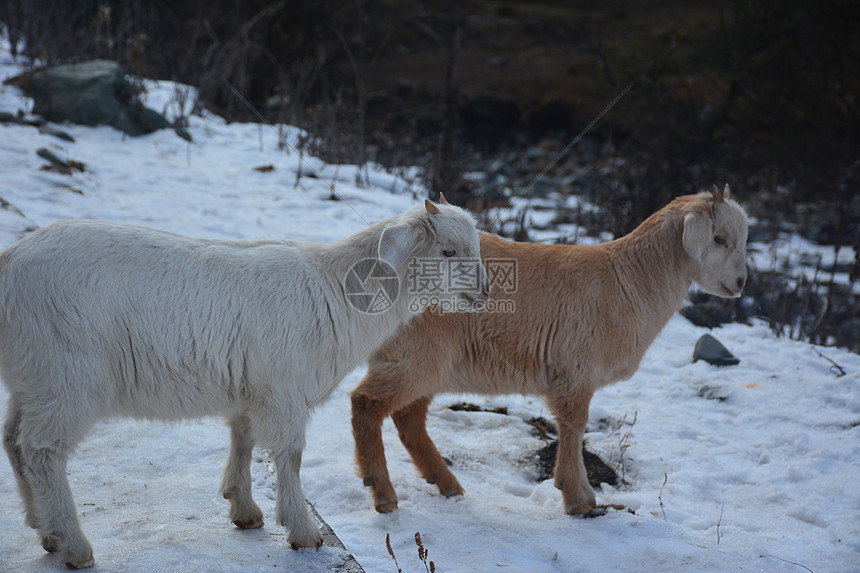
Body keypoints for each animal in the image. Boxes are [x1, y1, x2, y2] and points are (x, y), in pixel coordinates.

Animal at [0, 198, 490, 568]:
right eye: (448, 251)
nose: (485, 292)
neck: (335, 290)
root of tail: (10, 264)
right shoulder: (285, 389)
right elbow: (290, 455)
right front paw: (303, 531)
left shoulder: (252, 388)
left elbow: (244, 438)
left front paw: (244, 508)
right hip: (66, 374)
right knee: (42, 449)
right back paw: (73, 544)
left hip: (33, 378)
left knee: (14, 440)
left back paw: (44, 529)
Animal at [350, 187, 744, 512]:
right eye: (719, 239)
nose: (740, 283)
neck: (628, 280)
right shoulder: (576, 371)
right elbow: (574, 427)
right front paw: (578, 499)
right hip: (417, 353)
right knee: (367, 404)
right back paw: (383, 493)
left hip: (430, 361)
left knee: (408, 418)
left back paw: (446, 483)